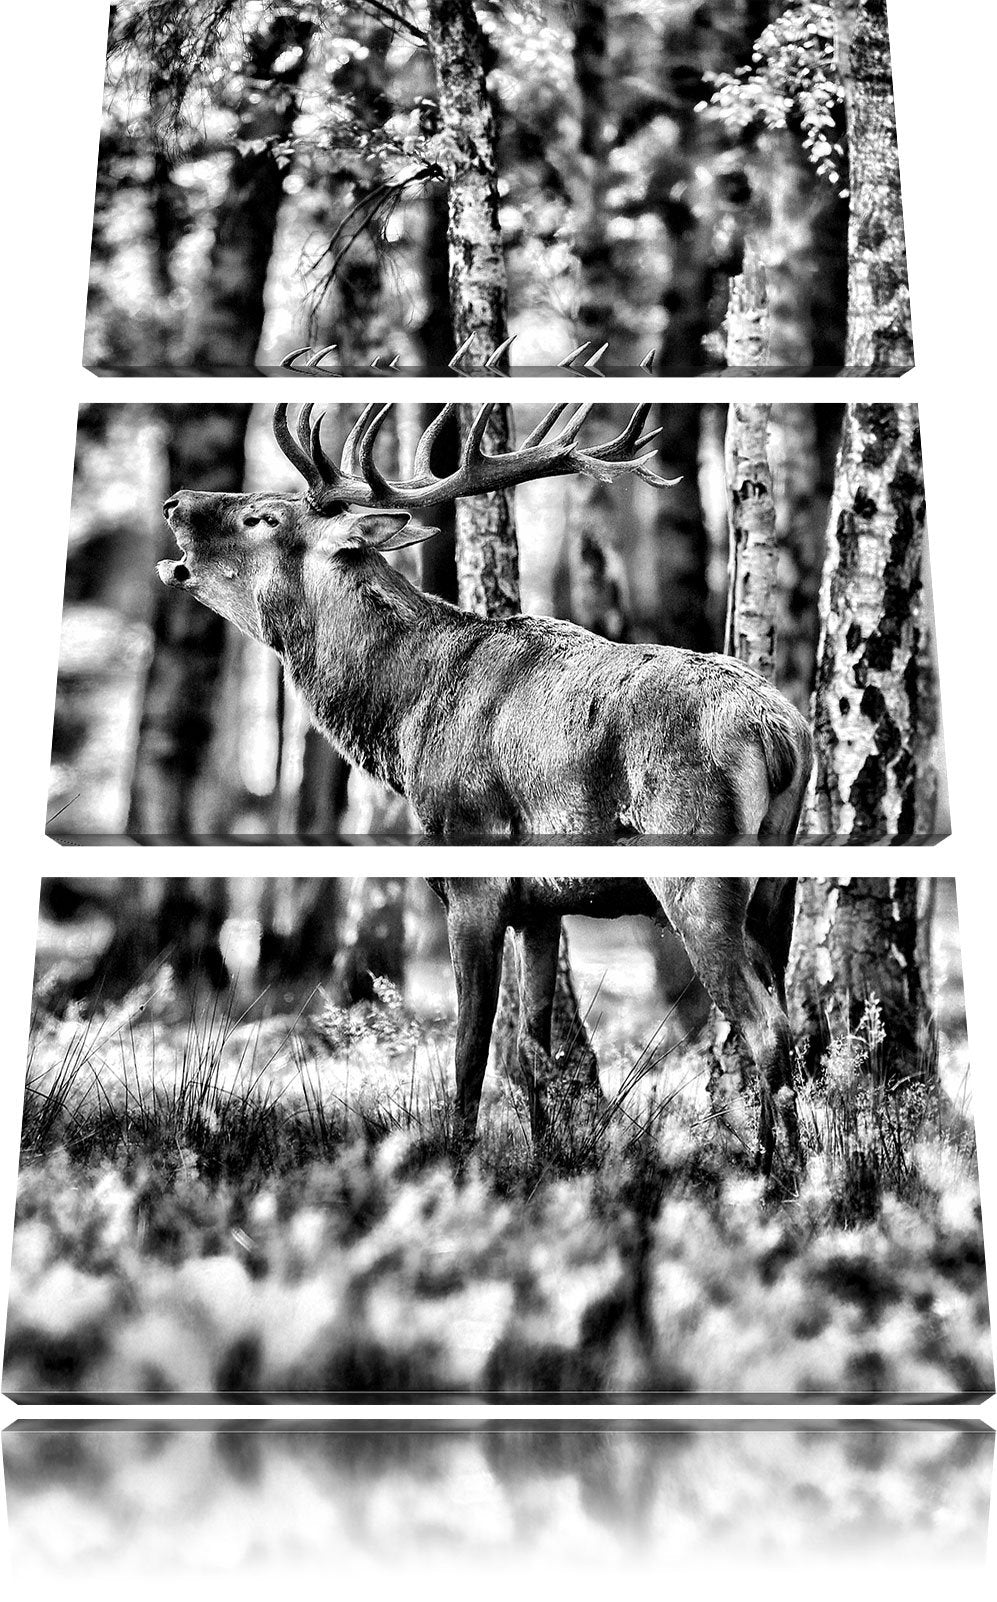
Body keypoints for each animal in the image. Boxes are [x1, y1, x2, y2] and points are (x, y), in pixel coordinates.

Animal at [158, 386, 814, 1171]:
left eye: (263, 515)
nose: (175, 501)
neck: (402, 724)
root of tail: (780, 733)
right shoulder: (543, 903)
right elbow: (533, 1047)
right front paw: (546, 1158)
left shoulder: (471, 871)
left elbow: (471, 1047)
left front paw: (459, 1158)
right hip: (778, 890)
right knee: (786, 1016)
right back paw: (792, 1166)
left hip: (697, 868)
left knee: (764, 1026)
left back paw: (779, 1176)